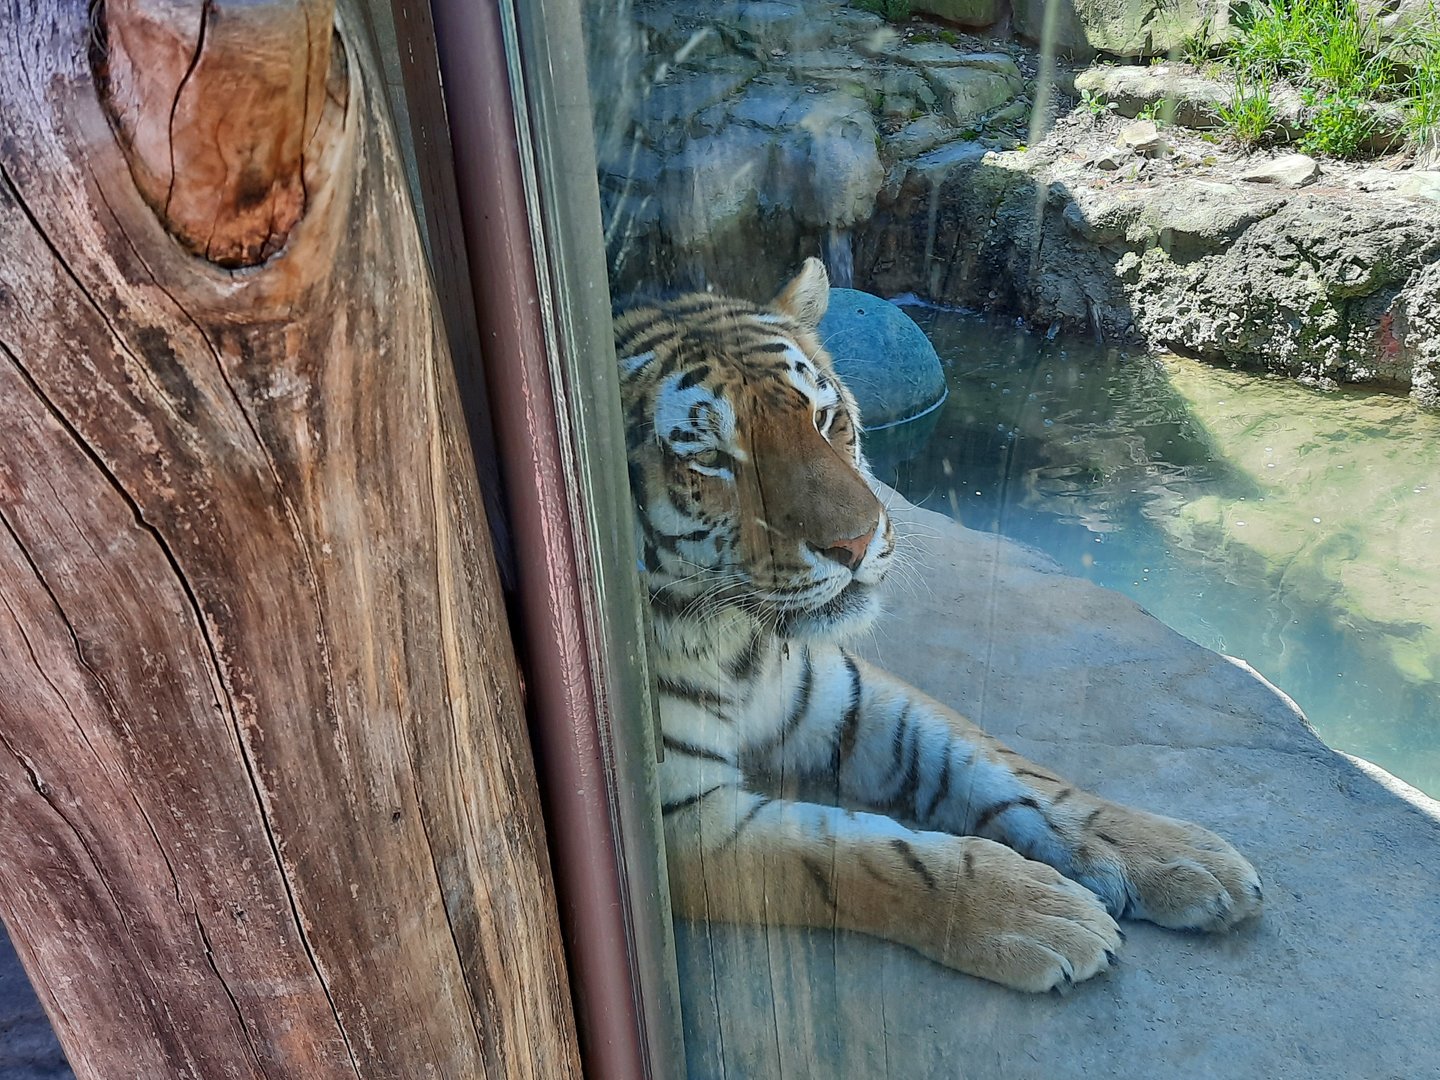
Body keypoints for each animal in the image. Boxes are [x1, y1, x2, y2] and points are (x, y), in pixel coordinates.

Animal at [615, 257, 1262, 993]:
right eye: (712, 459)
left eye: (823, 419)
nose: (857, 543)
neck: (736, 641)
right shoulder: (676, 820)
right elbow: (858, 854)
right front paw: (1036, 910)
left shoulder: (844, 693)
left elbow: (1002, 771)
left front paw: (1172, 853)